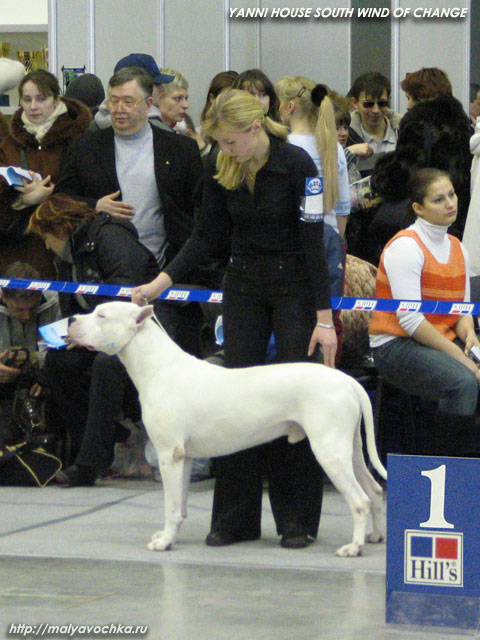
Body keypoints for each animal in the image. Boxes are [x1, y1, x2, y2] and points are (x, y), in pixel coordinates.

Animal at [69, 300, 388, 556]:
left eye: (101, 315)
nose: (71, 320)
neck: (158, 368)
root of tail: (348, 381)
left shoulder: (168, 455)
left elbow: (170, 506)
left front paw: (164, 543)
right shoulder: (183, 458)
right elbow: (180, 506)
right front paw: (170, 537)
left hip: (329, 450)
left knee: (359, 500)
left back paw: (354, 547)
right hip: (349, 449)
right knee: (373, 490)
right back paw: (375, 536)